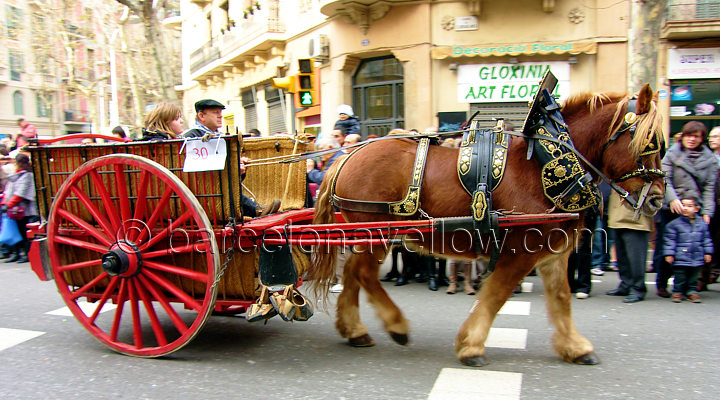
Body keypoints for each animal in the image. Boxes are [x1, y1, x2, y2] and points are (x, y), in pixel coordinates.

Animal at [308, 83, 664, 366]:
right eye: (648, 143)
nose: (658, 199)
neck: (545, 164)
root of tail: (345, 156)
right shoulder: (521, 252)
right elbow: (496, 295)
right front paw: (471, 345)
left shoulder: (552, 252)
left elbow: (561, 299)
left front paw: (575, 347)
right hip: (378, 233)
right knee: (364, 274)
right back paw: (395, 325)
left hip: (367, 236)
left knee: (352, 272)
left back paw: (354, 330)